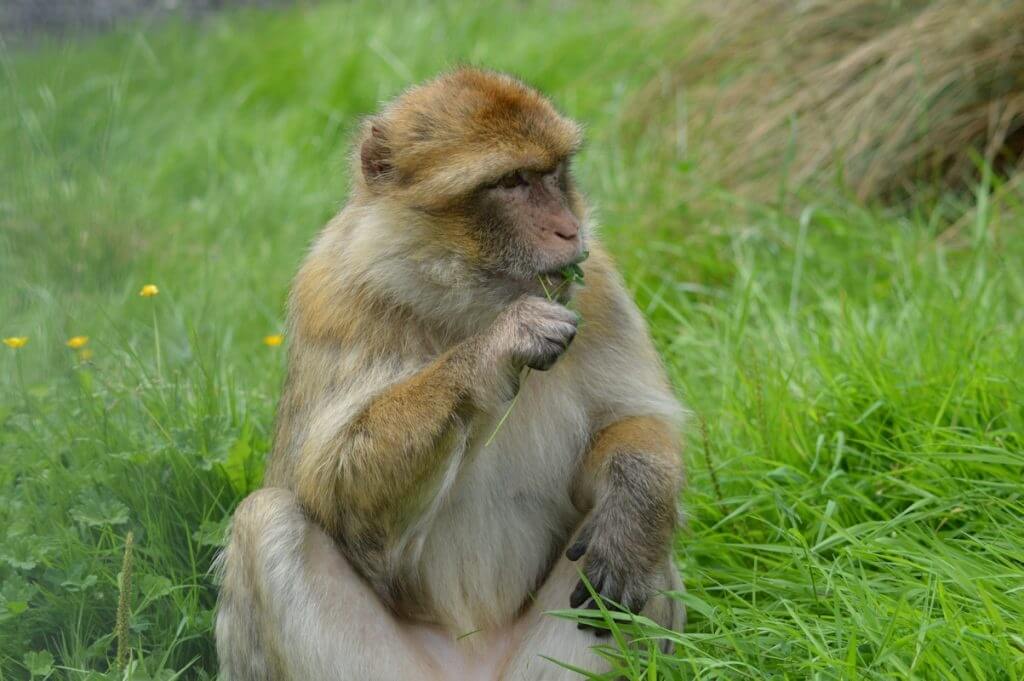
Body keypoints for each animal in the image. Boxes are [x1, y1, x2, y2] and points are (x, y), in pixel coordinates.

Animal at [211, 65, 684, 679]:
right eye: (512, 182)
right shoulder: (333, 296)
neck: (462, 299)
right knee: (266, 520)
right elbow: (335, 490)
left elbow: (633, 423)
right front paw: (499, 346)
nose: (568, 230)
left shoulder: (598, 284)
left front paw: (634, 504)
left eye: (552, 173)